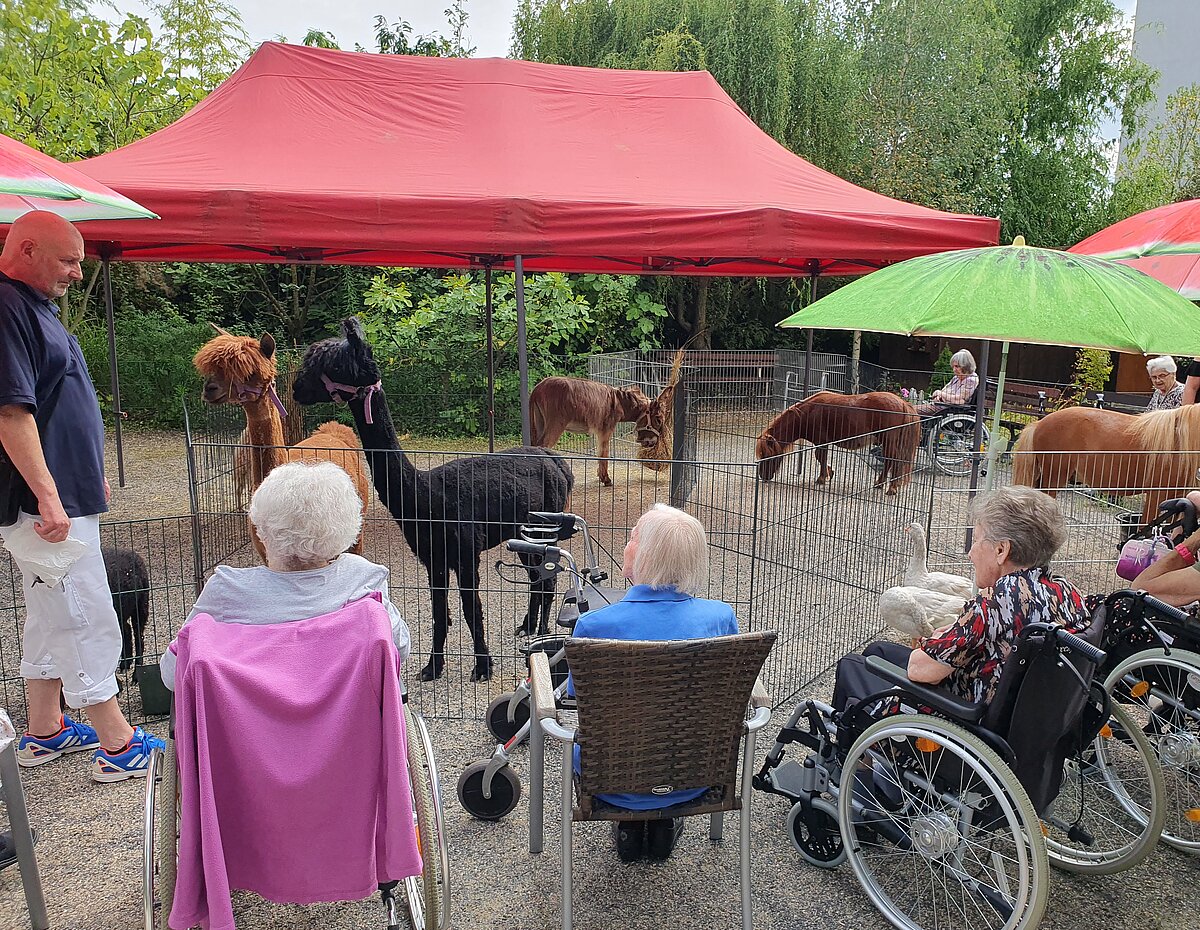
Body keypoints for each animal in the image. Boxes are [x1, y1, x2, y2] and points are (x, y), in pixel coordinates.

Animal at [289, 316, 571, 681]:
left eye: (334, 364)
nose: (296, 388)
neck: (424, 496)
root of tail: (555, 460)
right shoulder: (432, 557)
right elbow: (439, 612)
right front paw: (432, 667)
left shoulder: (465, 552)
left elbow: (471, 609)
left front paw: (483, 666)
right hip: (522, 533)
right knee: (536, 579)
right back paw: (527, 626)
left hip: (543, 527)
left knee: (546, 580)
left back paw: (541, 631)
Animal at [532, 376, 662, 487]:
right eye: (658, 419)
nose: (653, 442)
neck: (619, 402)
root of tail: (537, 388)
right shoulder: (606, 429)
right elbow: (604, 453)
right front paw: (606, 479)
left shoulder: (599, 431)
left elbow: (600, 452)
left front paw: (601, 476)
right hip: (556, 424)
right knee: (542, 446)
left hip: (539, 424)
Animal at [758, 391, 916, 494]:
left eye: (767, 455)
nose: (763, 476)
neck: (806, 414)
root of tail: (903, 403)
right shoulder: (823, 442)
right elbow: (821, 458)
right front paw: (829, 472)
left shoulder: (821, 441)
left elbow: (820, 456)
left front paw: (822, 478)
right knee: (890, 461)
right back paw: (880, 483)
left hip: (888, 440)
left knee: (893, 460)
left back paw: (891, 488)